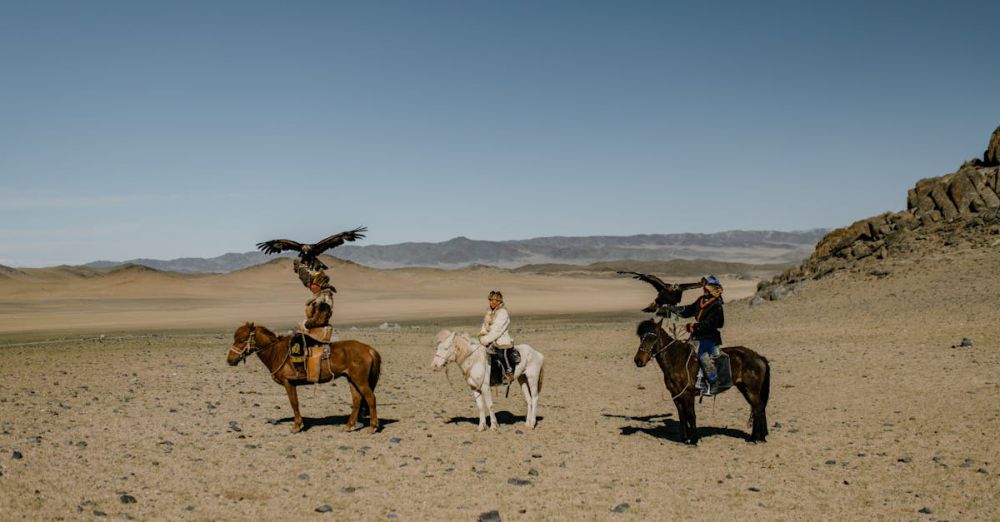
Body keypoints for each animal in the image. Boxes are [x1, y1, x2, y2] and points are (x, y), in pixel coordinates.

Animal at [229, 320, 380, 430]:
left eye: (241, 340)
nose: (230, 360)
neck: (277, 352)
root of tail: (368, 349)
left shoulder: (289, 383)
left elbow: (294, 403)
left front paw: (297, 425)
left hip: (360, 380)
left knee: (370, 398)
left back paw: (372, 427)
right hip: (351, 379)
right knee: (357, 399)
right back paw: (349, 426)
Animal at [636, 316, 768, 442]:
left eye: (653, 337)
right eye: (641, 338)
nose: (638, 360)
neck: (676, 359)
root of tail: (758, 357)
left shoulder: (688, 394)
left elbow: (691, 415)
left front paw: (694, 439)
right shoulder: (676, 395)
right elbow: (682, 416)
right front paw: (685, 439)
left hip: (751, 390)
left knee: (758, 408)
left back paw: (756, 438)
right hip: (745, 389)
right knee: (757, 408)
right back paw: (757, 437)